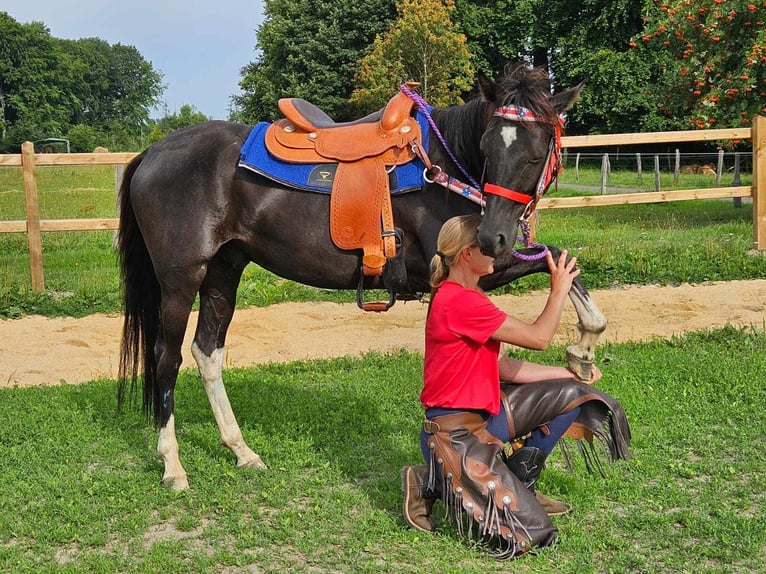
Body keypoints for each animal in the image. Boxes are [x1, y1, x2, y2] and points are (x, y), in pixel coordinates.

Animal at [115, 65, 608, 492]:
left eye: (535, 152)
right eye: (487, 148)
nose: (493, 237)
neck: (443, 170)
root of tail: (153, 153)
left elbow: (558, 262)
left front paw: (582, 348)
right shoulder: (460, 271)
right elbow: (556, 261)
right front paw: (583, 345)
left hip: (223, 272)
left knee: (208, 353)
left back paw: (242, 451)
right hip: (181, 280)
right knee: (166, 359)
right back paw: (173, 466)